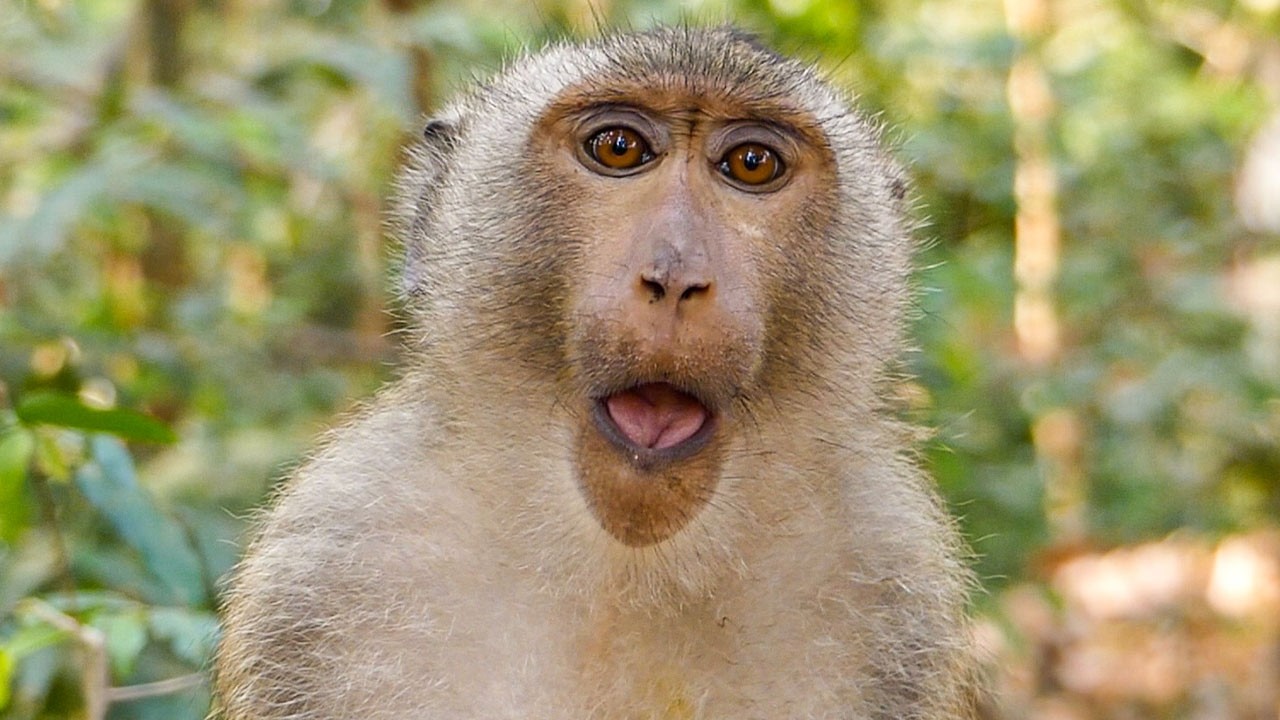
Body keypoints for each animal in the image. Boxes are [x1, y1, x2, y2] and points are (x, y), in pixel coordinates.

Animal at [214, 26, 977, 720]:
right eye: (618, 148)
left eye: (753, 163)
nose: (675, 275)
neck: (624, 571)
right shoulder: (334, 558)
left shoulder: (888, 578)